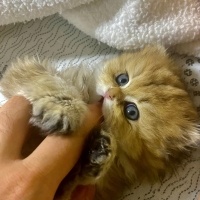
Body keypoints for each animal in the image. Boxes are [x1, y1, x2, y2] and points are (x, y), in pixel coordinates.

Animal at [0, 45, 200, 200]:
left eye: (131, 112)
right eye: (122, 79)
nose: (110, 94)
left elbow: (73, 184)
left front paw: (96, 156)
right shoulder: (23, 74)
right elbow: (53, 82)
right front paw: (65, 110)